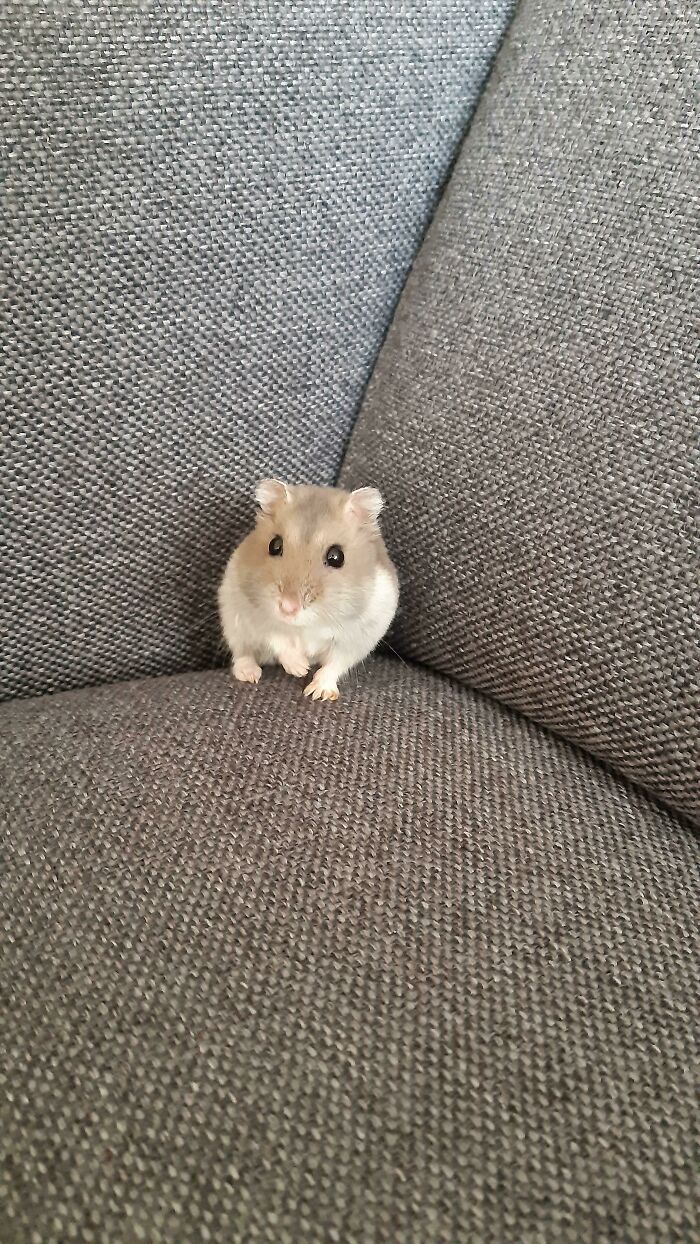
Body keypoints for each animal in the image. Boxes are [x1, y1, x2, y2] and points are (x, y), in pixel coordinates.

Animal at [218, 480, 399, 701]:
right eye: (274, 545)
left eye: (336, 557)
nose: (288, 608)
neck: (306, 625)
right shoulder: (256, 615)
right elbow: (278, 638)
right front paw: (300, 669)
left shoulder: (357, 637)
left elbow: (334, 664)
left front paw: (318, 693)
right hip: (233, 623)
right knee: (243, 653)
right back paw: (250, 675)